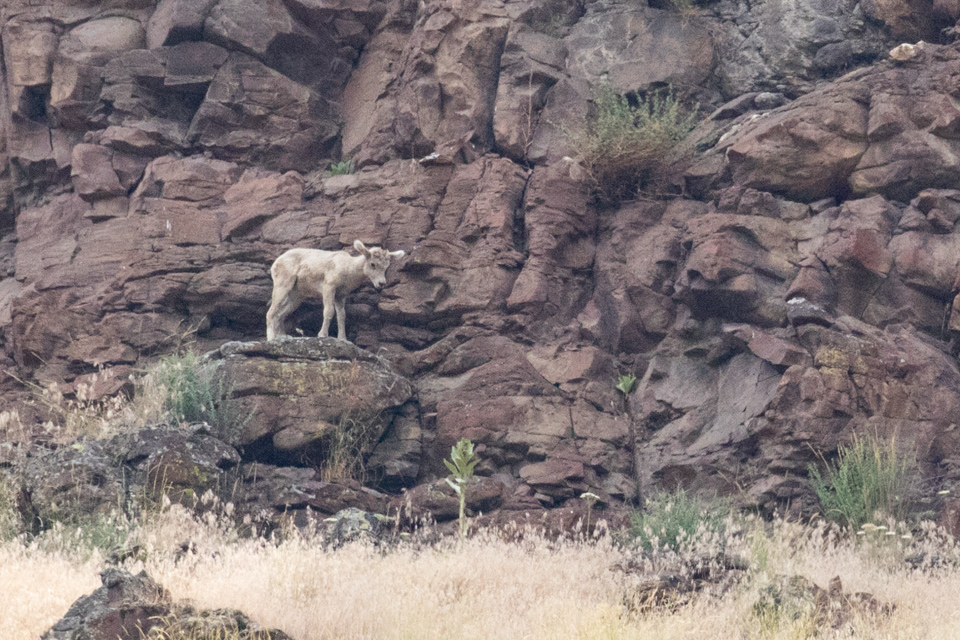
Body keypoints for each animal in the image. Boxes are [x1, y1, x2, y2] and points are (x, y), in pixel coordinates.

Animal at [266, 240, 405, 341]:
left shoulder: (341, 295)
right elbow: (329, 311)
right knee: (271, 312)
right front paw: (322, 335)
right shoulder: (329, 287)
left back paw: (282, 337)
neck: (348, 269)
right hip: (282, 285)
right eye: (373, 264)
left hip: (296, 296)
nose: (381, 283)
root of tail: (276, 263)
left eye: (386, 266)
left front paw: (343, 339)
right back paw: (271, 339)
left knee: (280, 314)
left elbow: (341, 315)